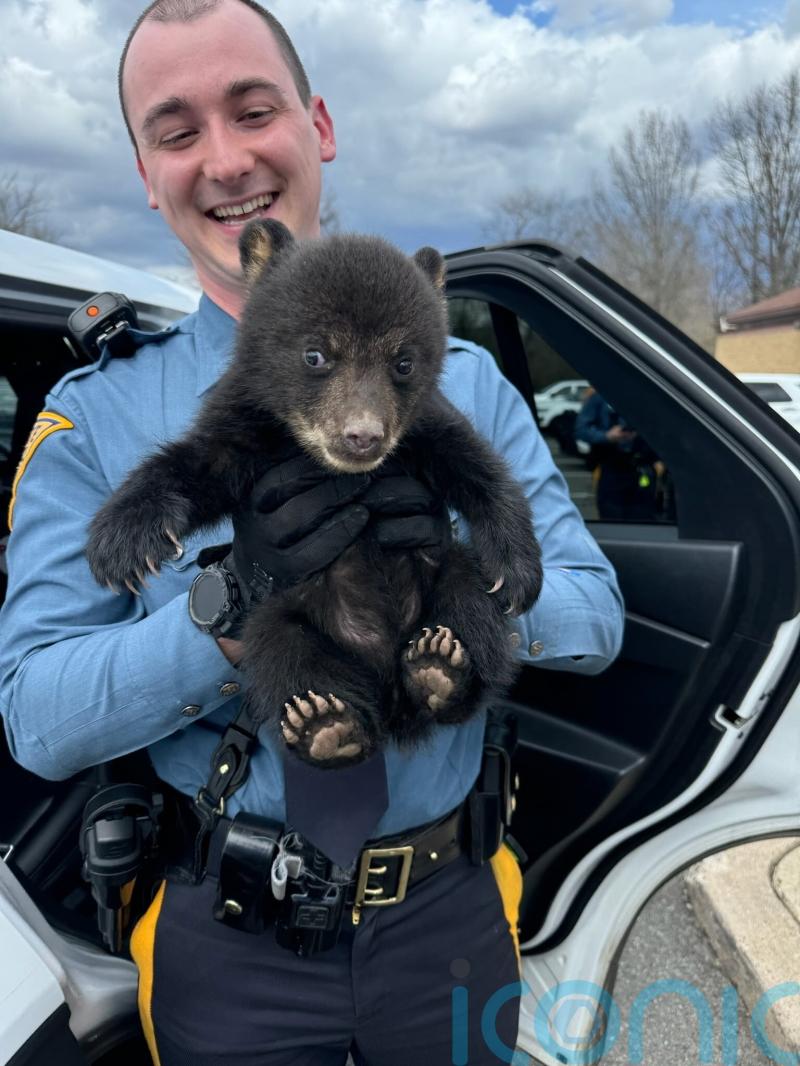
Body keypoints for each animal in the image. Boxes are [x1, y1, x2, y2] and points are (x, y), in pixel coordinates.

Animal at [86, 219, 542, 768]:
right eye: (315, 354)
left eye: (404, 362)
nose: (363, 436)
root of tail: (389, 691)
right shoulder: (247, 425)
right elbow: (198, 466)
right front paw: (121, 544)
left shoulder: (423, 428)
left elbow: (477, 466)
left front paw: (517, 572)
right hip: (283, 617)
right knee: (283, 654)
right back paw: (327, 725)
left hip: (447, 575)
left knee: (470, 606)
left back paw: (441, 668)